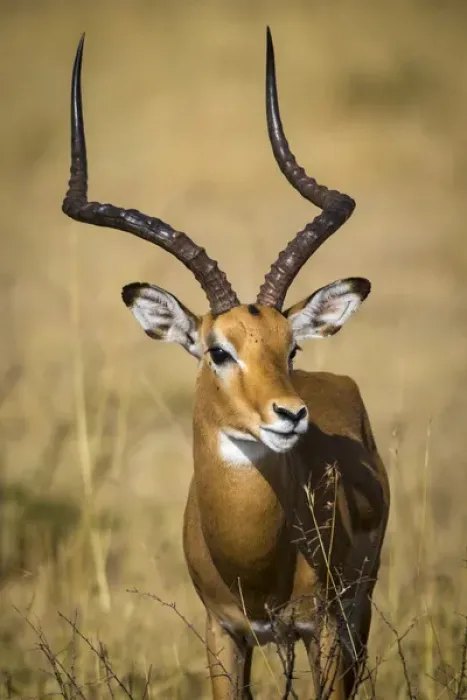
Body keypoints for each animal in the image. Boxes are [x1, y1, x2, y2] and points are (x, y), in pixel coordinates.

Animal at [62, 28, 389, 700]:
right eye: (219, 350)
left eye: (291, 345)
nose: (289, 414)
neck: (254, 557)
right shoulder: (223, 632)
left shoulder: (321, 628)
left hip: (357, 614)